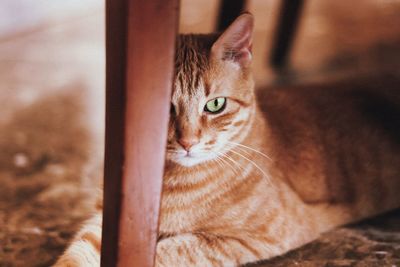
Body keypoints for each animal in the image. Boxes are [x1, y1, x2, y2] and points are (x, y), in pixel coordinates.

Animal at [54, 13, 400, 267]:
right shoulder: (106, 220)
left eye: (215, 105)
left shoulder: (260, 235)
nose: (188, 142)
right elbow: (76, 255)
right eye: (164, 106)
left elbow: (173, 249)